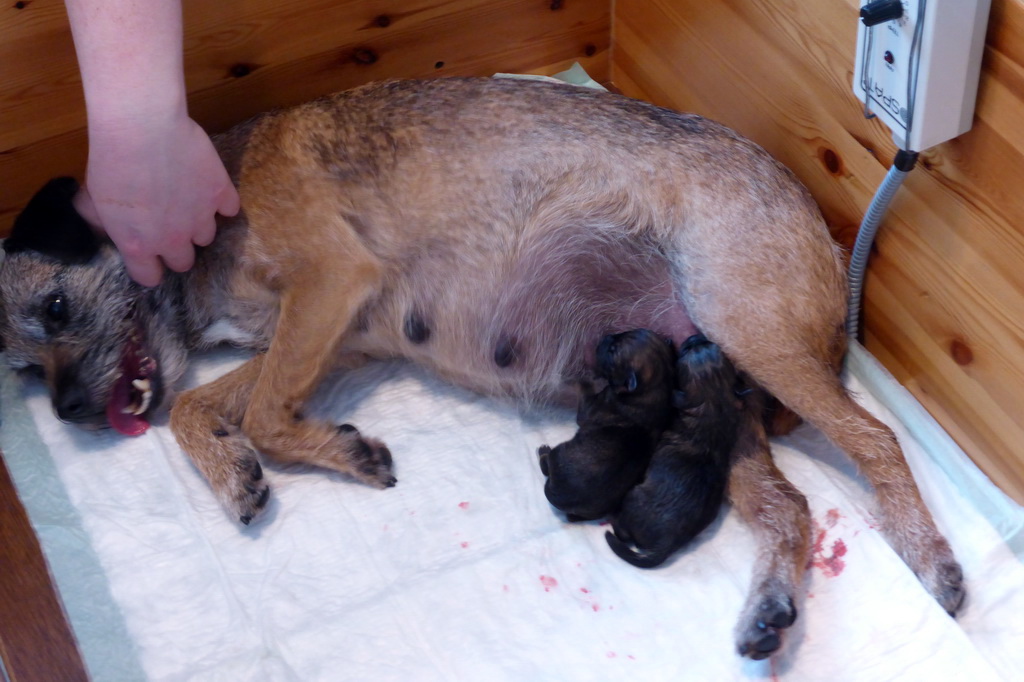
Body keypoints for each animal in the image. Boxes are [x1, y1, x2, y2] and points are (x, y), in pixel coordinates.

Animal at [538, 329, 675, 521]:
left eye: (612, 351)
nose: (605, 336)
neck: (656, 386)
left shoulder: (590, 408)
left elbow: (585, 389)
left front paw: (584, 377)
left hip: (559, 453)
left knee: (547, 465)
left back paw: (543, 452)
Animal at [605, 334, 742, 569]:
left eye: (685, 351)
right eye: (707, 344)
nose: (695, 336)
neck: (714, 405)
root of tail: (666, 546)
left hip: (633, 496)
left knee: (622, 532)